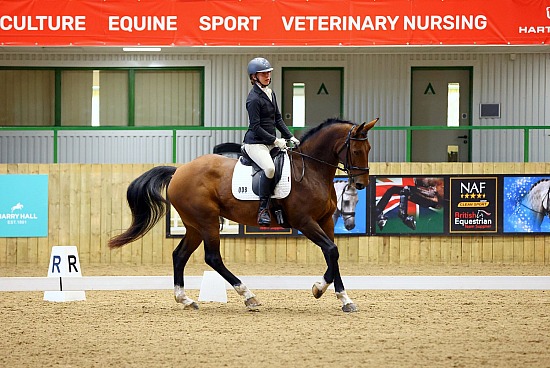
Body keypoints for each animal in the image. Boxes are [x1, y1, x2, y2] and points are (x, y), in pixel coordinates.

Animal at [108, 117, 380, 310]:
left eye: (369, 148)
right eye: (357, 151)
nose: (361, 183)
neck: (311, 170)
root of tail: (179, 171)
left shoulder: (325, 221)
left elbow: (332, 254)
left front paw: (339, 296)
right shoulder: (305, 222)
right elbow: (331, 251)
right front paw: (324, 291)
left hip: (194, 225)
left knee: (180, 255)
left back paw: (185, 299)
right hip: (207, 221)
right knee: (212, 258)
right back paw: (248, 296)